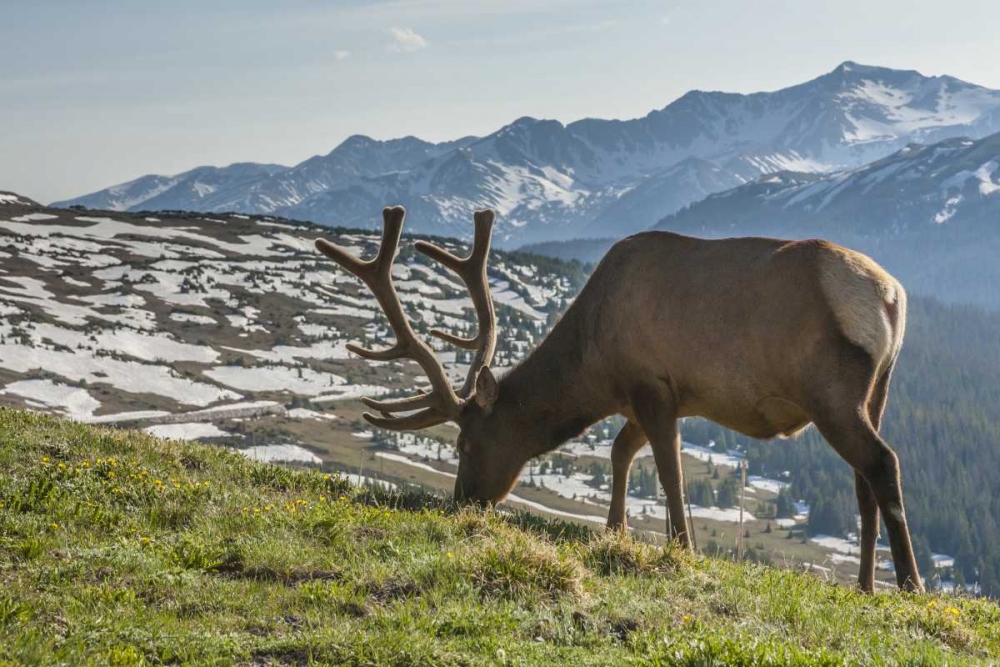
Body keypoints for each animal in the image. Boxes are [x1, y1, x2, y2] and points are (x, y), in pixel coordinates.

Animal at [316, 206, 924, 592]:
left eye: (466, 443)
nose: (461, 501)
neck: (594, 366)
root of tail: (892, 298)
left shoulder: (652, 385)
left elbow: (669, 473)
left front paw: (682, 548)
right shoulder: (645, 398)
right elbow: (620, 454)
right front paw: (616, 531)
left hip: (831, 391)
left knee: (883, 462)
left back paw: (911, 584)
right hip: (878, 389)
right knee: (863, 481)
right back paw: (866, 585)